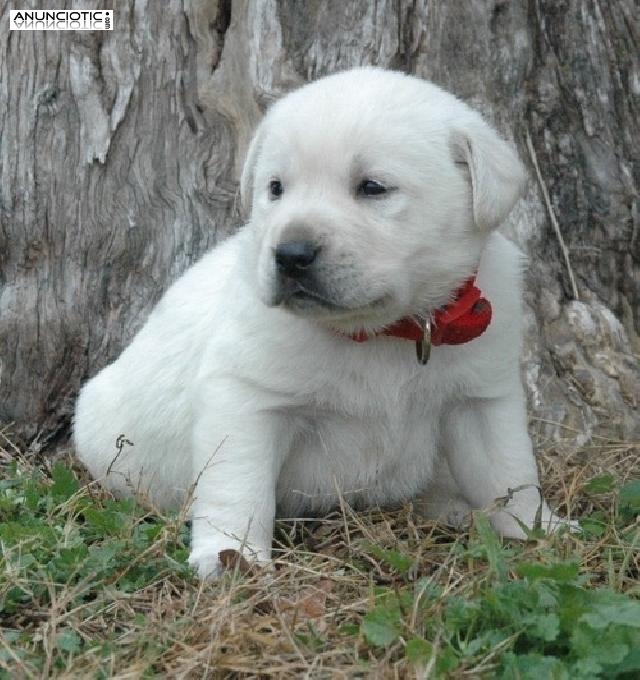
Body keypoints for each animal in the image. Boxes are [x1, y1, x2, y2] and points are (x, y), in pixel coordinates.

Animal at [75, 69, 568, 576]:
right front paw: (230, 557)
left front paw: (538, 528)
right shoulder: (247, 399)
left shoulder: (482, 398)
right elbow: (238, 486)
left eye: (372, 187)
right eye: (275, 188)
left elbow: (508, 470)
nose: (290, 255)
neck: (381, 331)